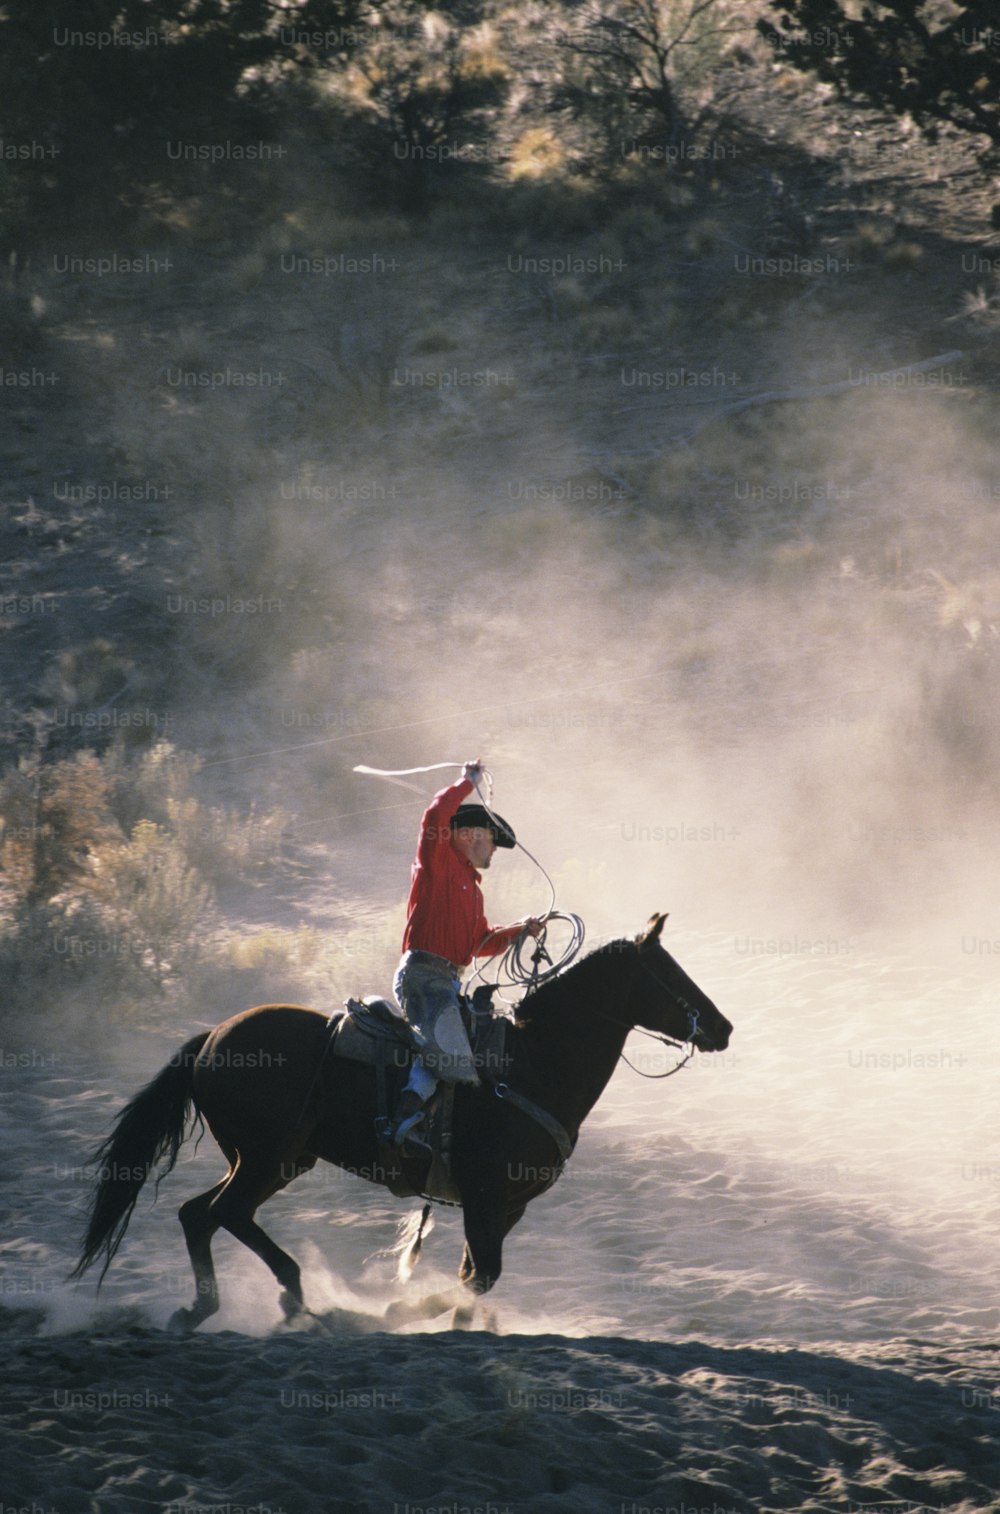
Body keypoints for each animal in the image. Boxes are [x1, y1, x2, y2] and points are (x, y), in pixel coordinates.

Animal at [68, 908, 726, 1326]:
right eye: (670, 974)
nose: (723, 1027)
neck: (532, 1065)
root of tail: (211, 1039)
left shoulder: (508, 1206)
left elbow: (475, 1277)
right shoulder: (485, 1197)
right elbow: (481, 1274)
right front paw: (397, 1310)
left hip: (272, 1160)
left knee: (199, 1215)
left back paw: (203, 1309)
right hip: (267, 1158)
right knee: (223, 1213)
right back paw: (297, 1301)